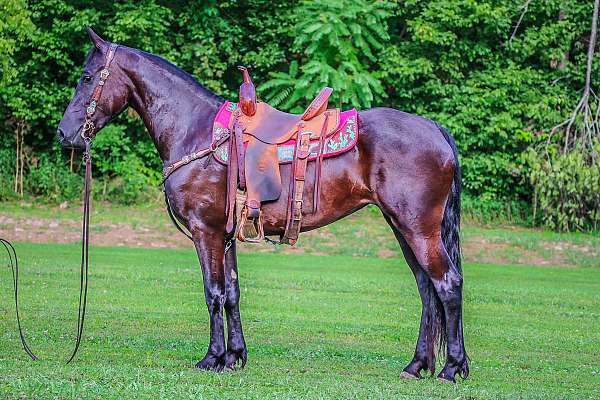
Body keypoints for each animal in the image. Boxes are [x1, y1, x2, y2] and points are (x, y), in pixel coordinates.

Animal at [56, 29, 468, 382]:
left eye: (87, 77)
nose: (65, 133)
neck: (197, 131)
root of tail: (434, 128)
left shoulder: (205, 232)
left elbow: (213, 293)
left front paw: (212, 358)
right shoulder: (225, 236)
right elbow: (232, 293)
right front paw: (235, 356)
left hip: (418, 230)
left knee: (446, 284)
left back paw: (451, 368)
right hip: (403, 229)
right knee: (426, 289)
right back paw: (417, 365)